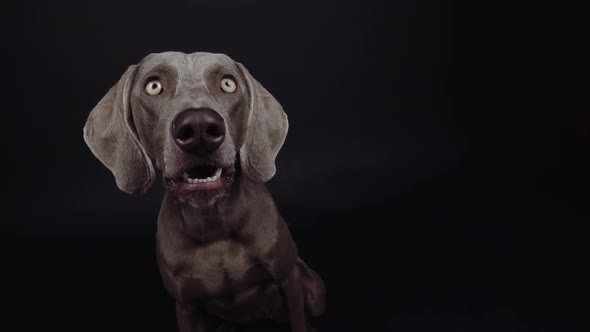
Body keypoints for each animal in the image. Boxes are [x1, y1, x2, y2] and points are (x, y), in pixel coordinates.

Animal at [82, 52, 328, 332]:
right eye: (153, 86)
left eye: (228, 84)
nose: (198, 127)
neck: (214, 225)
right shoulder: (186, 306)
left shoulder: (289, 278)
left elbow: (298, 319)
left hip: (314, 292)